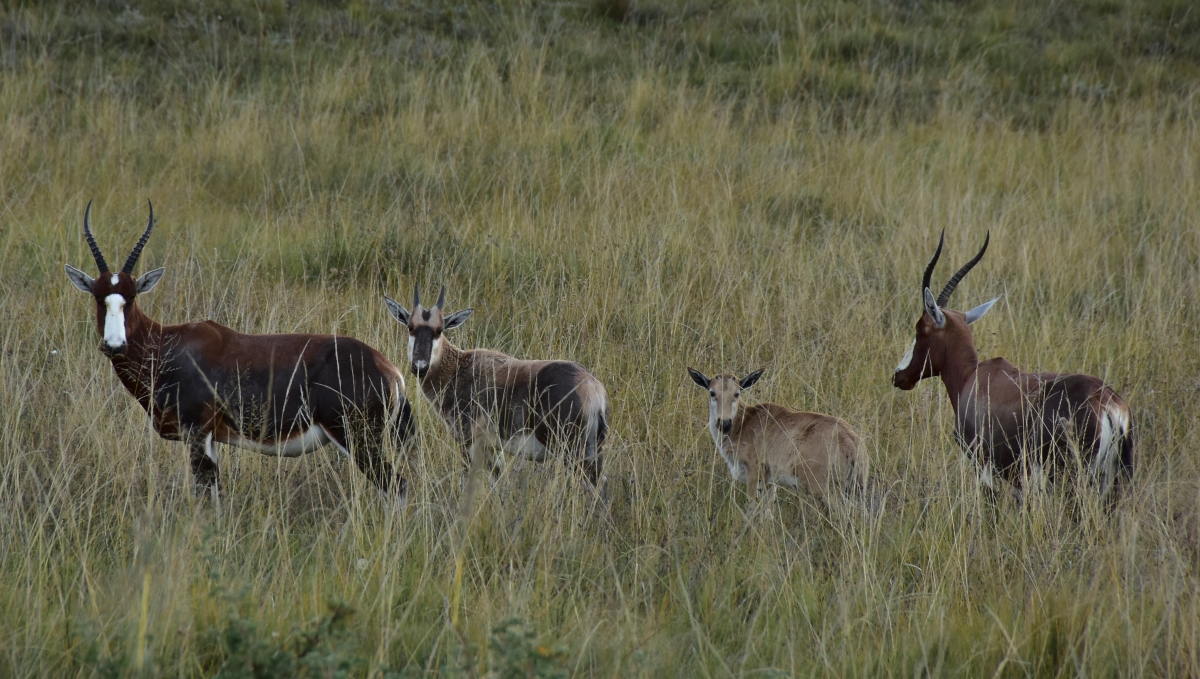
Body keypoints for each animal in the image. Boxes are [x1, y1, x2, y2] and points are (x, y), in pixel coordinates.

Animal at [64, 202, 417, 506]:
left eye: (132, 296)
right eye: (98, 296)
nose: (114, 345)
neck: (168, 343)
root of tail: (391, 371)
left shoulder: (198, 435)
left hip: (358, 440)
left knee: (397, 487)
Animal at [384, 286, 609, 489]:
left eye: (439, 330)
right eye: (410, 327)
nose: (420, 367)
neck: (459, 367)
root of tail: (593, 388)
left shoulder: (469, 442)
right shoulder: (493, 448)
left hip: (573, 452)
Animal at [686, 367, 864, 506]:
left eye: (736, 393)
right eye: (712, 392)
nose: (724, 423)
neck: (744, 422)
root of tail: (851, 442)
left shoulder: (754, 475)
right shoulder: (769, 483)